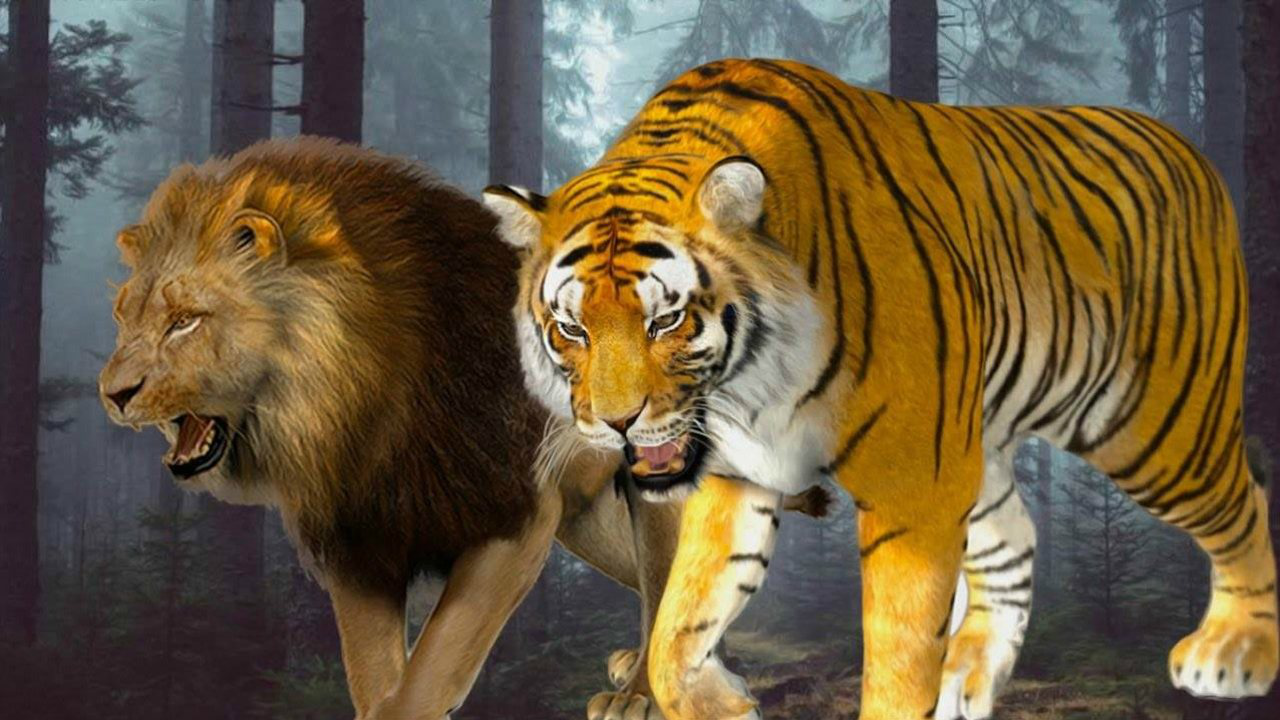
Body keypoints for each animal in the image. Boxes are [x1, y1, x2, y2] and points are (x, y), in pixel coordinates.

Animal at [483, 58, 1278, 719]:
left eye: (667, 320)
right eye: (571, 329)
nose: (613, 424)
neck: (747, 387)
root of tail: (1191, 151)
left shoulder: (911, 484)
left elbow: (898, 646)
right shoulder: (740, 475)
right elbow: (682, 624)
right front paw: (722, 701)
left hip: (1151, 425)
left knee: (1245, 502)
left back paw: (1234, 651)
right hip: (978, 438)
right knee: (1014, 537)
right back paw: (966, 675)